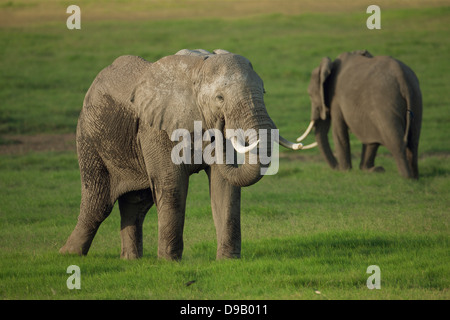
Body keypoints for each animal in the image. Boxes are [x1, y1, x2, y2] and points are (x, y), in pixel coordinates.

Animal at [59, 49, 302, 260]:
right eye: (220, 98)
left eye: (264, 92)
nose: (220, 124)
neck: (197, 70)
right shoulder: (155, 128)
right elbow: (172, 184)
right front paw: (169, 262)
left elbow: (225, 186)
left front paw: (228, 261)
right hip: (89, 136)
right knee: (98, 203)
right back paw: (69, 254)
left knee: (137, 204)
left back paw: (130, 260)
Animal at [298, 51, 422, 179]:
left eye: (310, 95)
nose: (336, 168)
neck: (330, 66)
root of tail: (402, 79)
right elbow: (370, 135)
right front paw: (370, 170)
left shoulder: (336, 99)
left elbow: (339, 132)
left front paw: (345, 171)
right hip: (416, 98)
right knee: (413, 141)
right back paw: (414, 177)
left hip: (386, 104)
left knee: (396, 141)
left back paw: (406, 178)